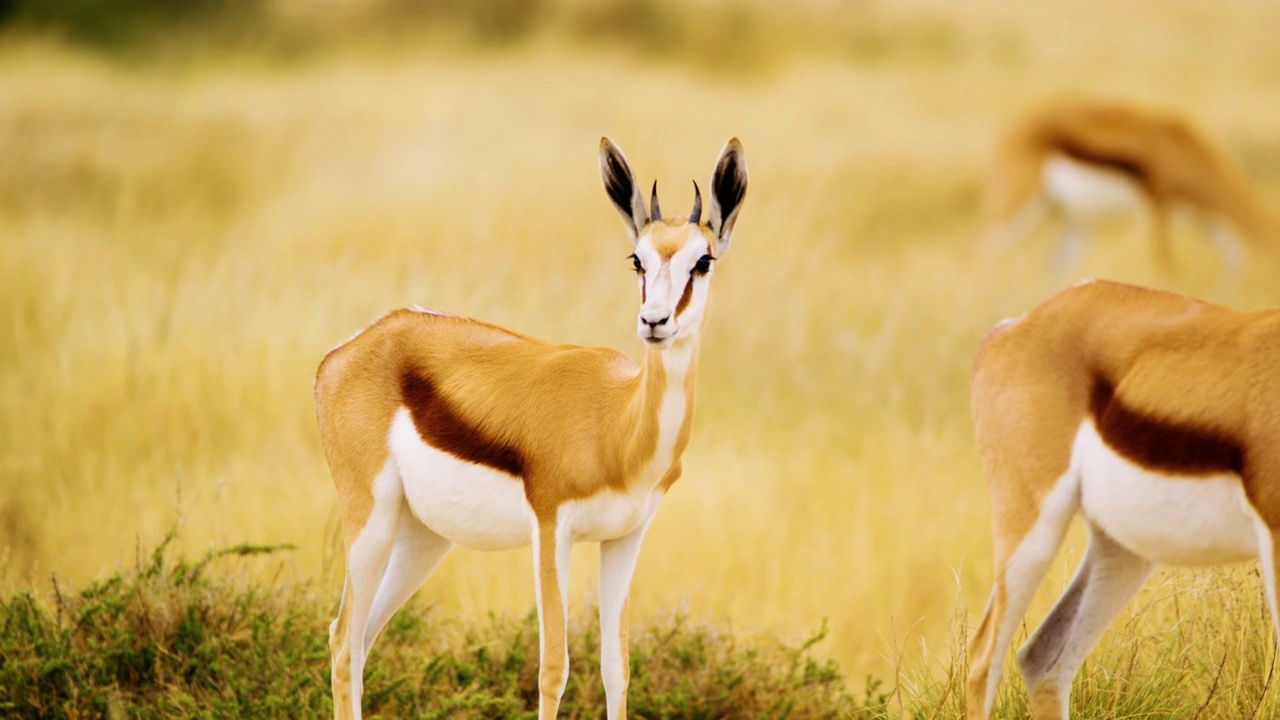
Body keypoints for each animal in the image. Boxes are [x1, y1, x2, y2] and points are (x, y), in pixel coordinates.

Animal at [313, 137, 747, 712]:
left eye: (703, 261)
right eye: (638, 258)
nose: (655, 322)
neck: (617, 424)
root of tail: (347, 350)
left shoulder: (626, 537)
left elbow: (617, 667)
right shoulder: (551, 530)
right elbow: (553, 668)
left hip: (423, 538)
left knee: (360, 638)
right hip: (371, 521)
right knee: (343, 641)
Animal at [977, 98, 1269, 271]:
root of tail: (1010, 130)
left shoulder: (1203, 219)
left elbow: (1235, 256)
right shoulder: (1159, 207)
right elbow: (1166, 264)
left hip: (1075, 222)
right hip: (1019, 206)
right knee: (983, 251)